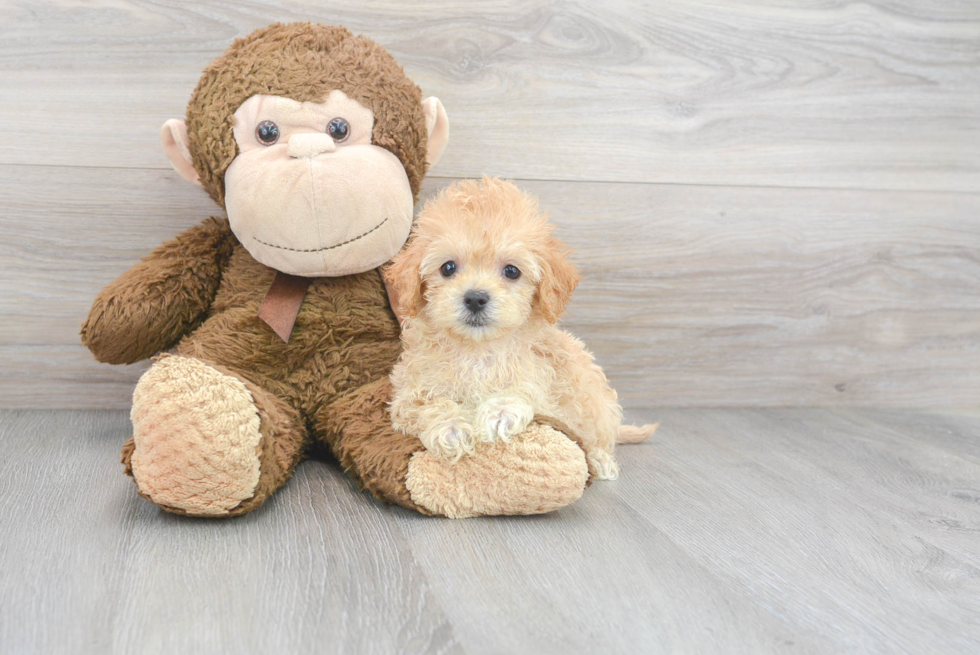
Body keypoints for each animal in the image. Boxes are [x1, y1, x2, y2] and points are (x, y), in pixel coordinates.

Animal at [386, 177, 656, 480]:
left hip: (594, 398)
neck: (478, 350)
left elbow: (525, 389)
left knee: (598, 436)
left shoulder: (547, 388)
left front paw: (500, 411)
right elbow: (427, 404)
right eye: (448, 267)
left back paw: (600, 460)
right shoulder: (407, 394)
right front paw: (451, 427)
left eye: (512, 271)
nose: (475, 298)